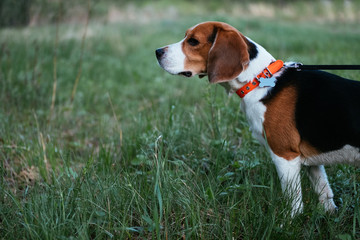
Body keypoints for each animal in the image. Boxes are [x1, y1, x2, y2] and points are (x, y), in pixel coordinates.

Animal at [155, 21, 360, 217]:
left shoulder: (285, 155)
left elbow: (294, 202)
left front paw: (288, 222)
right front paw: (329, 214)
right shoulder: (313, 162)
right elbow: (324, 191)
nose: (157, 52)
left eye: (193, 41)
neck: (257, 80)